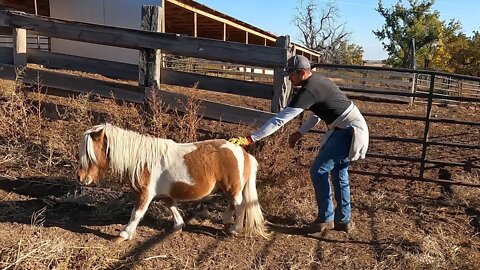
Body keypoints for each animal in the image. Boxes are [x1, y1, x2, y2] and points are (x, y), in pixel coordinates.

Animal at [77, 123, 268, 242]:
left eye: (90, 153)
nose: (80, 178)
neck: (142, 160)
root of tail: (243, 152)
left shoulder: (145, 194)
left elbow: (136, 213)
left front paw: (124, 233)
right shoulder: (164, 194)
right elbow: (172, 207)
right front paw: (178, 226)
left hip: (232, 188)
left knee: (240, 205)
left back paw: (235, 229)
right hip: (229, 188)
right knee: (233, 204)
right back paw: (227, 221)